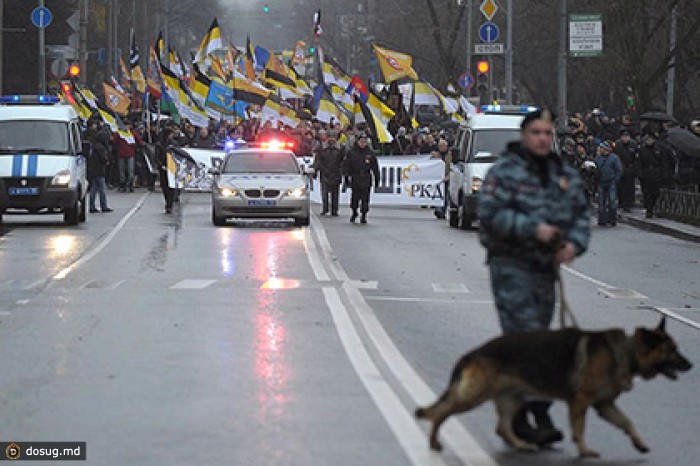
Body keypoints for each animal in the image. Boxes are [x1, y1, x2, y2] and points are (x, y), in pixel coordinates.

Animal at [416, 318, 696, 456]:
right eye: (671, 350)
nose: (691, 365)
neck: (627, 351)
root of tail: (473, 353)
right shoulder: (582, 401)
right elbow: (580, 429)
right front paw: (584, 451)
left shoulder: (604, 406)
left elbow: (627, 423)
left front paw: (639, 444)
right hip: (474, 396)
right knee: (442, 413)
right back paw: (433, 442)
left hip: (512, 398)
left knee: (503, 426)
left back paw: (523, 445)